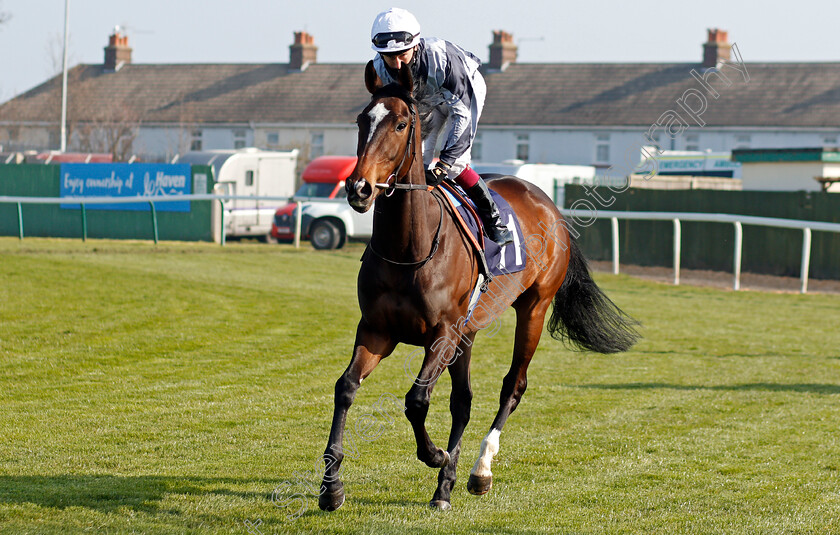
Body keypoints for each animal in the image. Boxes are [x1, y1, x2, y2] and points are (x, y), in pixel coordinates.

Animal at [320, 61, 636, 510]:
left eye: (401, 123)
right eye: (363, 120)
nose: (359, 188)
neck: (410, 248)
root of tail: (550, 206)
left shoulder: (442, 333)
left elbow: (416, 401)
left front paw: (435, 455)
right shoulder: (378, 329)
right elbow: (346, 388)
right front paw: (332, 486)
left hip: (533, 308)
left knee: (512, 386)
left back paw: (478, 470)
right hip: (468, 334)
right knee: (463, 403)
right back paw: (445, 486)